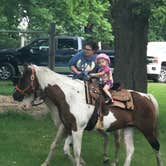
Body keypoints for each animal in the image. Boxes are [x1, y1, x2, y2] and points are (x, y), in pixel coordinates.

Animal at [12, 65, 162, 166]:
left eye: (23, 79)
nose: (15, 95)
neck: (70, 96)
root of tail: (147, 96)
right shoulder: (67, 127)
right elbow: (58, 146)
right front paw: (46, 163)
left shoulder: (77, 129)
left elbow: (76, 151)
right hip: (128, 129)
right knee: (130, 150)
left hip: (147, 129)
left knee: (156, 147)